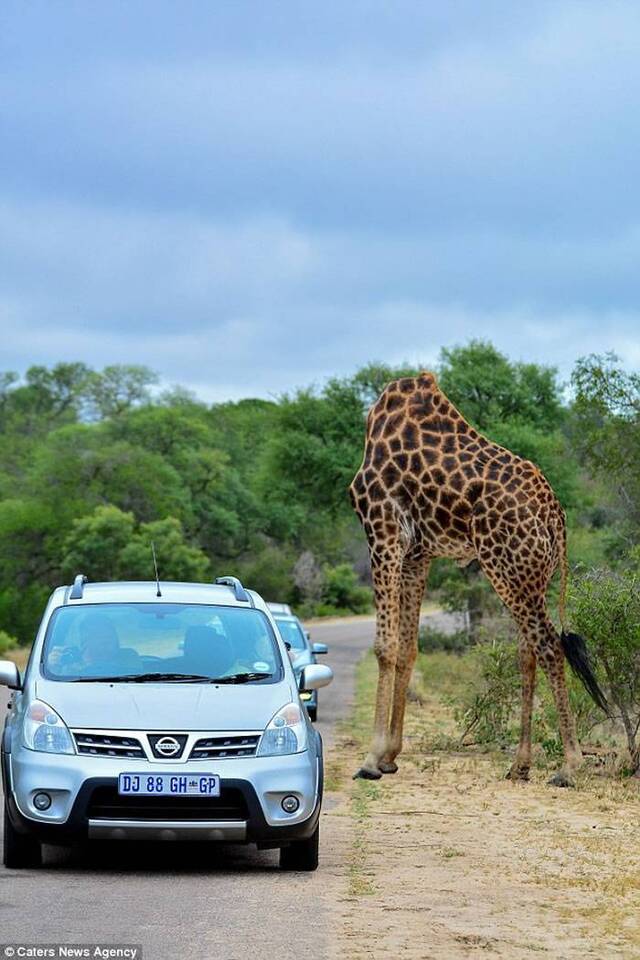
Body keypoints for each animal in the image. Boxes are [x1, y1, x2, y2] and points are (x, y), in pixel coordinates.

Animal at [350, 372, 604, 784]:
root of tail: (556, 517)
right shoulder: (418, 552)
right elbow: (408, 648)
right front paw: (390, 756)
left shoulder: (381, 526)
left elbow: (385, 646)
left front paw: (372, 760)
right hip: (531, 577)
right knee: (528, 652)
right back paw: (520, 764)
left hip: (505, 568)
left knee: (550, 647)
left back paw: (569, 765)